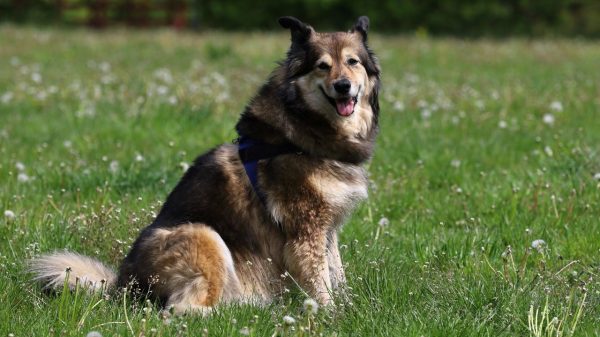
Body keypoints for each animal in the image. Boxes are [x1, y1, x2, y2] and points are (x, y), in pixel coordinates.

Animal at [30, 15, 380, 314]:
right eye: (322, 66)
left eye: (353, 62)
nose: (343, 86)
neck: (305, 125)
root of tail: (123, 287)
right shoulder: (306, 229)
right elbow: (321, 282)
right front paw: (333, 316)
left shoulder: (328, 229)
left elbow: (337, 274)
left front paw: (350, 308)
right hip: (203, 235)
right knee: (180, 309)